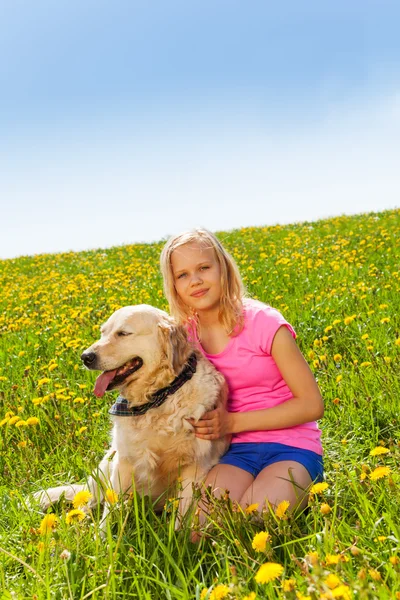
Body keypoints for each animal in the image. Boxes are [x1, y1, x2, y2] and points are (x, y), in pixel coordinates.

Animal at [35, 304, 228, 528]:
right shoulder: (124, 461)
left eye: (123, 333)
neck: (159, 397)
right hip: (106, 463)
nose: (85, 357)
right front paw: (103, 536)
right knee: (87, 501)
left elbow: (182, 519)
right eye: (103, 332)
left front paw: (181, 536)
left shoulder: (194, 466)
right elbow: (108, 515)